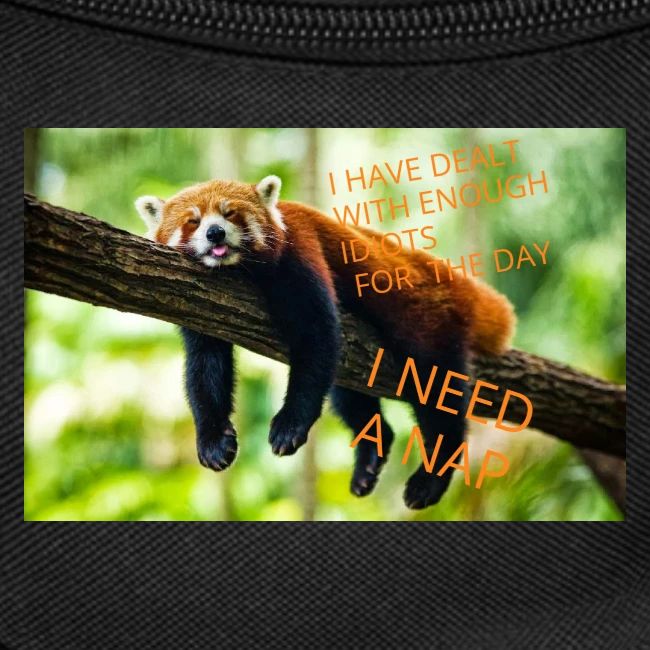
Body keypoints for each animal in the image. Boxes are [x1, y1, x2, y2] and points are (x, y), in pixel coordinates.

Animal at [136, 175, 515, 509]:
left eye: (230, 214)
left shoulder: (300, 252)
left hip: (427, 322)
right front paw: (213, 440)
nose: (215, 232)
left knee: (436, 392)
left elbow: (316, 337)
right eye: (193, 221)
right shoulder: (200, 304)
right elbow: (205, 367)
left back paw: (431, 478)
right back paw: (369, 458)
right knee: (348, 395)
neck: (238, 271)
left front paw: (290, 425)